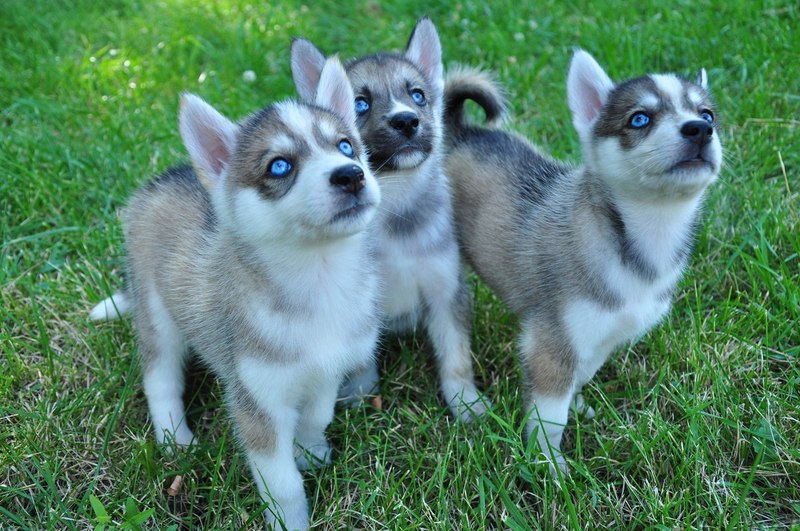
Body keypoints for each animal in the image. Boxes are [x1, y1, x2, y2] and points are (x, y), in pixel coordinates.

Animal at [116, 57, 380, 530]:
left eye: (346, 146)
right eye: (279, 166)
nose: (351, 175)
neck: (321, 278)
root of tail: (162, 179)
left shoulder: (327, 372)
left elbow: (317, 416)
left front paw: (310, 452)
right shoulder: (257, 402)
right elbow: (283, 485)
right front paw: (291, 522)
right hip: (157, 316)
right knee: (160, 378)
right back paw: (174, 437)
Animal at [289, 18, 488, 421]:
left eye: (418, 96)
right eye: (360, 103)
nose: (407, 121)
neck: (397, 210)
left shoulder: (446, 291)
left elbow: (456, 357)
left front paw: (466, 404)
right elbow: (360, 359)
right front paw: (360, 396)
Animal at [443, 50, 722, 473]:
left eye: (707, 114)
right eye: (639, 119)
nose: (699, 130)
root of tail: (459, 131)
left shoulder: (603, 337)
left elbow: (582, 374)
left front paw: (576, 405)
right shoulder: (551, 340)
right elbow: (550, 413)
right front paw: (548, 465)